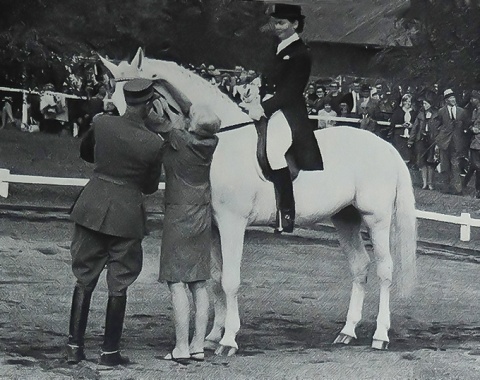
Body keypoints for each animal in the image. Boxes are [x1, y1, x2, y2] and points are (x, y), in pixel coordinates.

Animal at [101, 49, 416, 354]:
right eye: (113, 97)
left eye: (137, 98)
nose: (123, 138)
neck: (221, 141)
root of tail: (386, 146)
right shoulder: (213, 227)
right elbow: (216, 278)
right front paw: (212, 337)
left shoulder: (233, 224)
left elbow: (230, 281)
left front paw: (228, 340)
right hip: (345, 218)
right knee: (360, 267)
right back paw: (347, 332)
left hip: (376, 219)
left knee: (384, 270)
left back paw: (380, 336)